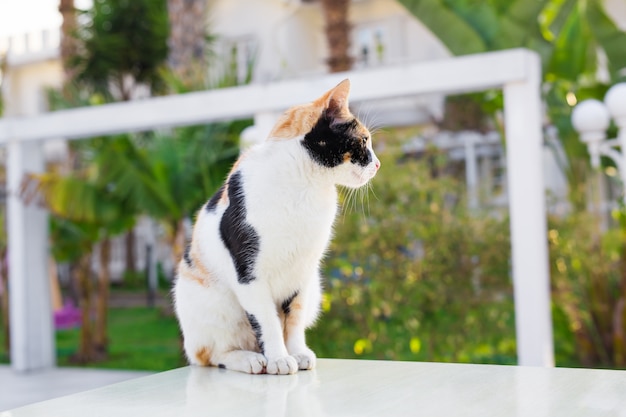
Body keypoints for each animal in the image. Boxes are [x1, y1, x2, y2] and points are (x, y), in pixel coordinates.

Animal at [174, 78, 380, 374]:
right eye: (364, 140)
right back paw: (251, 359)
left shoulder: (302, 274)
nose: (378, 164)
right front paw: (279, 359)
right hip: (213, 307)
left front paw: (296, 353)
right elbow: (268, 321)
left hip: (315, 287)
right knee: (213, 354)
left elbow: (293, 320)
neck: (304, 186)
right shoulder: (250, 274)